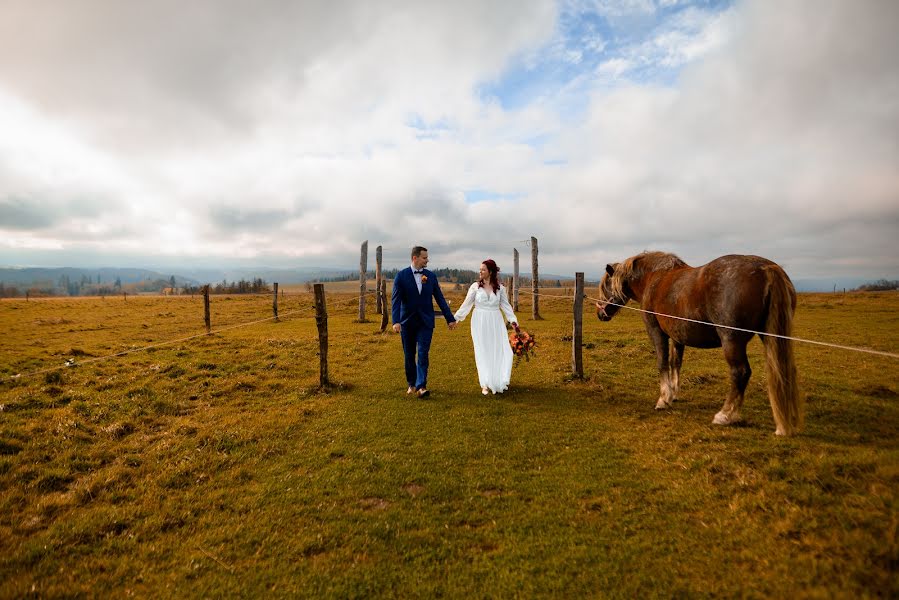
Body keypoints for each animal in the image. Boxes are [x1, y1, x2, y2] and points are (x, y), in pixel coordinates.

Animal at [596, 251, 800, 434]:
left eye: (605, 285)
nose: (600, 314)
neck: (653, 278)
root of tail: (767, 269)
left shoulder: (656, 331)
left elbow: (662, 363)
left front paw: (664, 399)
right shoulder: (677, 337)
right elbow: (675, 363)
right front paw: (674, 394)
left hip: (731, 341)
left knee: (740, 372)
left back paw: (725, 415)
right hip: (770, 336)